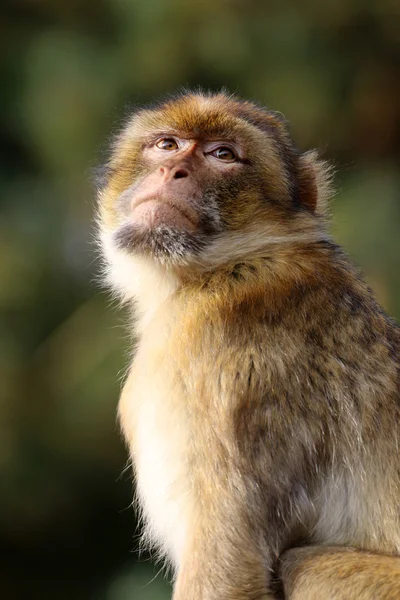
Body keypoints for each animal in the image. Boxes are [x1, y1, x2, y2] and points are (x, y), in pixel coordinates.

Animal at [96, 90, 400, 600]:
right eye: (166, 144)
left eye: (222, 155)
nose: (172, 171)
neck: (236, 263)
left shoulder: (222, 368)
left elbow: (228, 560)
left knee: (304, 565)